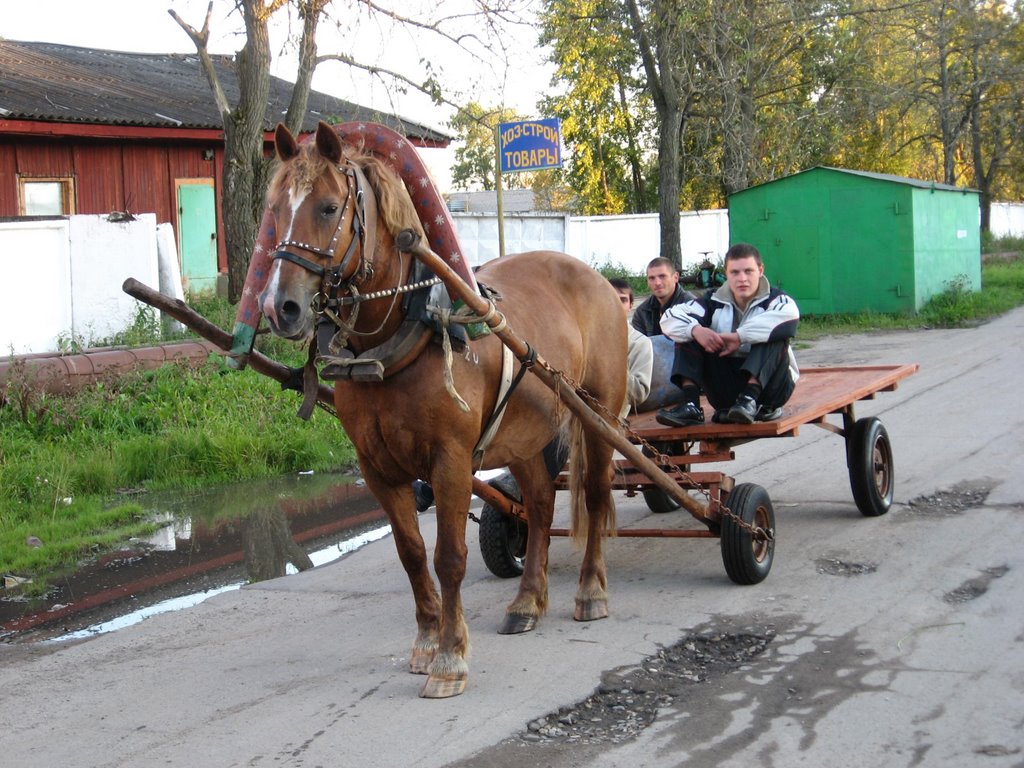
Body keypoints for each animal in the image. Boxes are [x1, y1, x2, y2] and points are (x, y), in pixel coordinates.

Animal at [258, 121, 622, 696]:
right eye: (274, 208)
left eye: (329, 207)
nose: (279, 308)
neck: (403, 334)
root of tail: (596, 279)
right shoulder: (378, 468)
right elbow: (411, 555)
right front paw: (427, 641)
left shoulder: (450, 461)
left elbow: (449, 557)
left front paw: (450, 656)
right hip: (524, 434)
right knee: (541, 505)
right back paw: (527, 601)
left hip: (600, 417)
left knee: (594, 493)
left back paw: (590, 592)